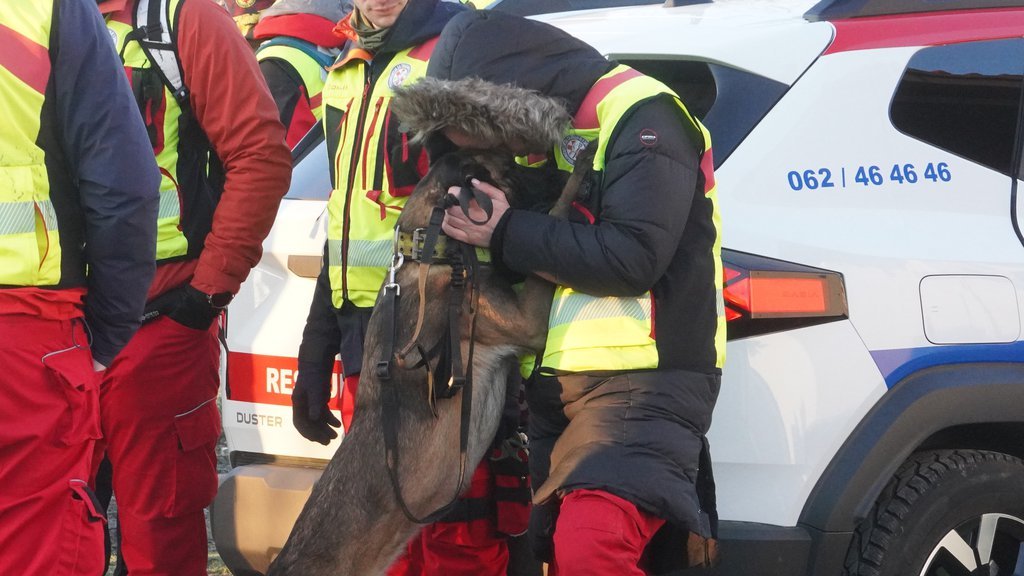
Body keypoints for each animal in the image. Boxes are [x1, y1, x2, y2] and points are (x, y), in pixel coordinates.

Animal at [264, 77, 589, 573]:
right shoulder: (527, 321)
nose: (557, 166)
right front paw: (577, 178)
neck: (428, 252)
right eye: (511, 171)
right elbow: (555, 216)